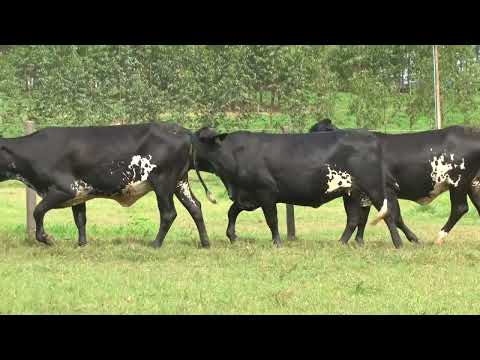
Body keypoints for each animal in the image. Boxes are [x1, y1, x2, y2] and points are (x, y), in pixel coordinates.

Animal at [0, 122, 214, 249]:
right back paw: (205, 242)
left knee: (169, 213)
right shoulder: (80, 193)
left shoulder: (63, 189)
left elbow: (37, 211)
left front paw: (46, 238)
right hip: (179, 182)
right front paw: (82, 244)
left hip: (163, 182)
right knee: (195, 207)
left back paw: (155, 244)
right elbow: (80, 219)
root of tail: (181, 130)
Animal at [193, 126, 406, 248]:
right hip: (351, 192)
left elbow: (272, 219)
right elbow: (232, 212)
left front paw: (277, 242)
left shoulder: (266, 192)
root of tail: (370, 137)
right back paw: (341, 243)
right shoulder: (246, 195)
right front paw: (232, 236)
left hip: (374, 188)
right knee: (353, 219)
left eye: (200, 139)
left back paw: (398, 244)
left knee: (387, 214)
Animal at [312, 119, 480, 246]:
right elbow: (364, 217)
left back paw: (439, 238)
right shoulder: (364, 194)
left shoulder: (386, 190)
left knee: (460, 208)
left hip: (458, 183)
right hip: (473, 185)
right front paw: (359, 241)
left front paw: (413, 239)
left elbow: (394, 215)